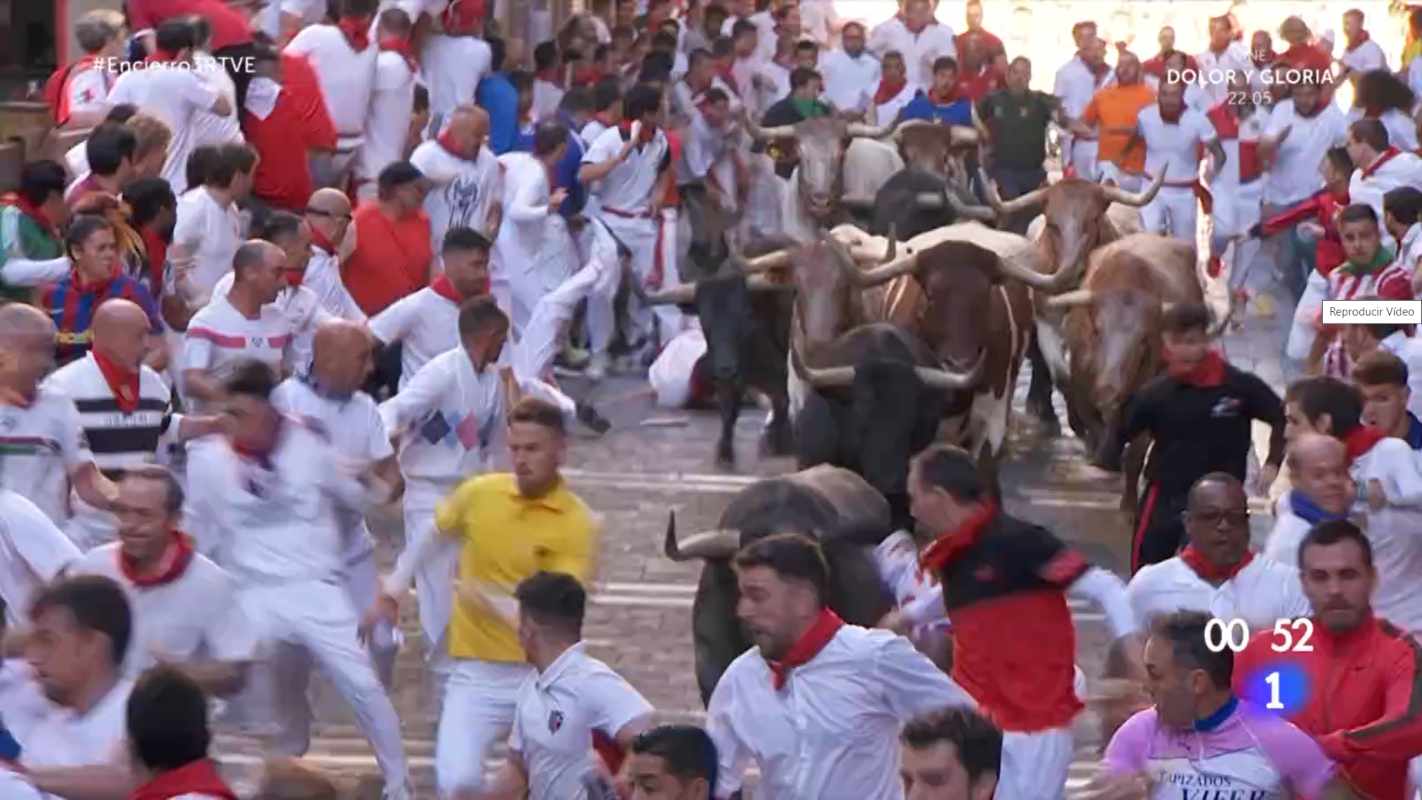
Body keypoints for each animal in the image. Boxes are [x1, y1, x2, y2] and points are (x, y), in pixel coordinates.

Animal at [978, 170, 1166, 437]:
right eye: (1052, 224)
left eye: (1094, 219)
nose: (1073, 269)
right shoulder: (1047, 322)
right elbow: (1061, 374)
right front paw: (1075, 421)